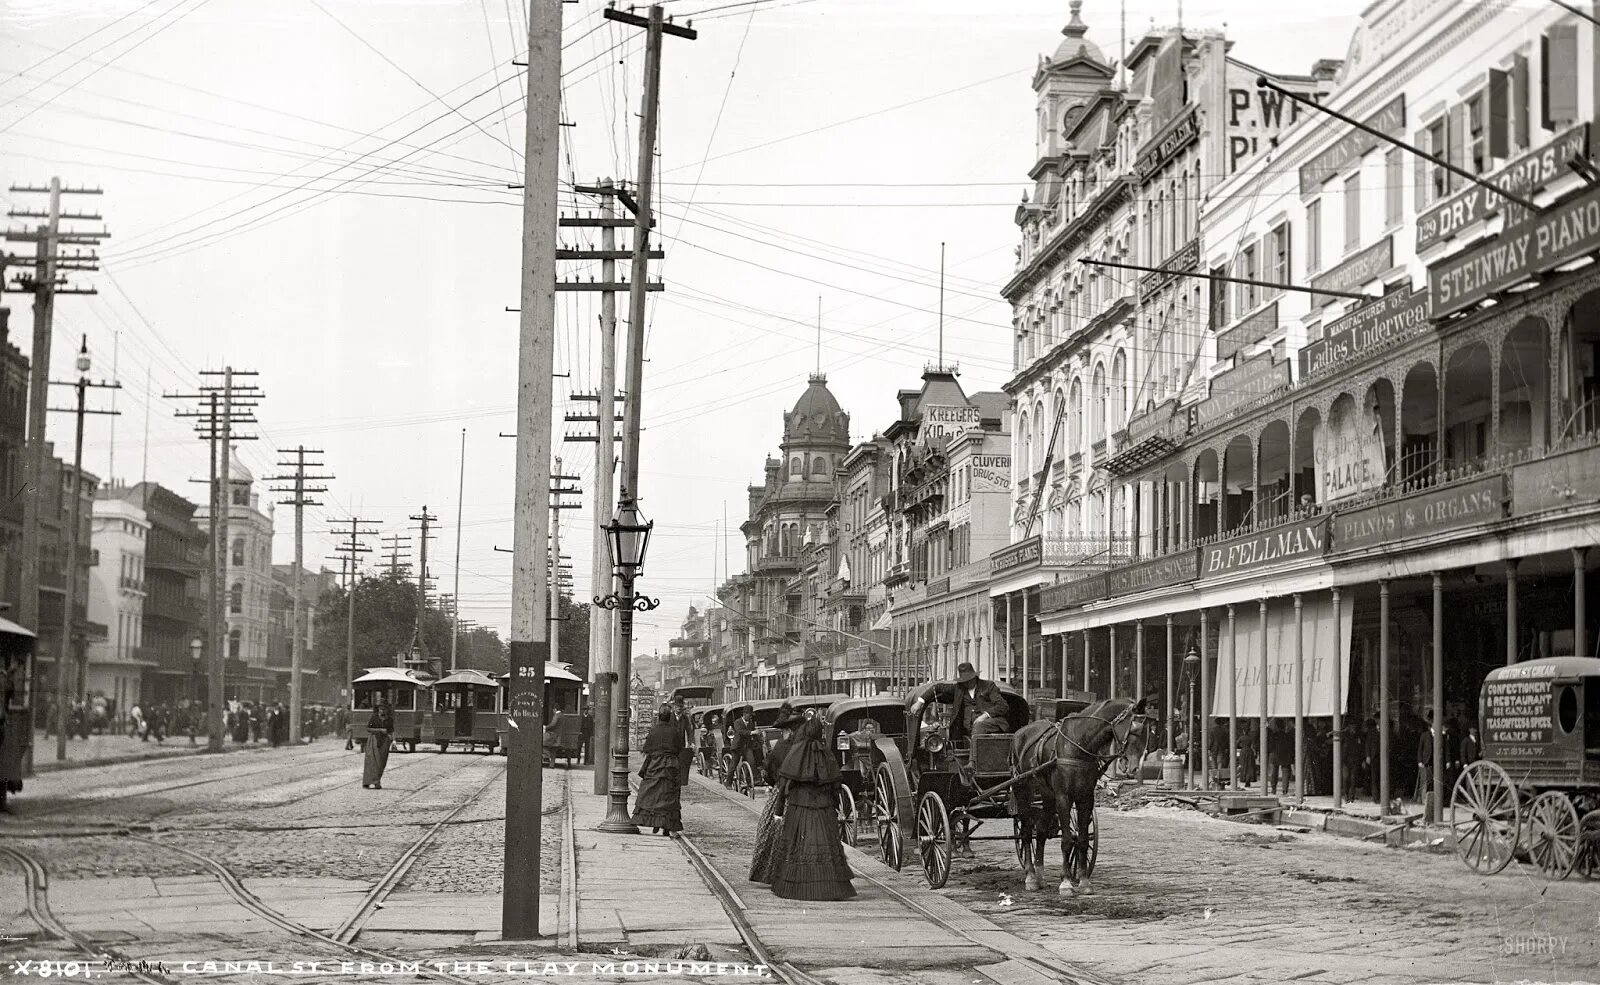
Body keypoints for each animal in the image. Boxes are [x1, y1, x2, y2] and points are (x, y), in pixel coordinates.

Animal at [1011, 697, 1152, 895]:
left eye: (1148, 732)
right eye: (1134, 730)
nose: (1133, 768)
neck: (1079, 744)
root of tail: (1020, 732)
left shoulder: (1085, 798)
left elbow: (1083, 839)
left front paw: (1084, 881)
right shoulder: (1063, 797)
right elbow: (1067, 840)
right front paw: (1066, 883)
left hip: (1047, 794)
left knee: (1040, 831)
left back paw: (1040, 876)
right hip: (1023, 790)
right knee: (1025, 832)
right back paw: (1030, 876)